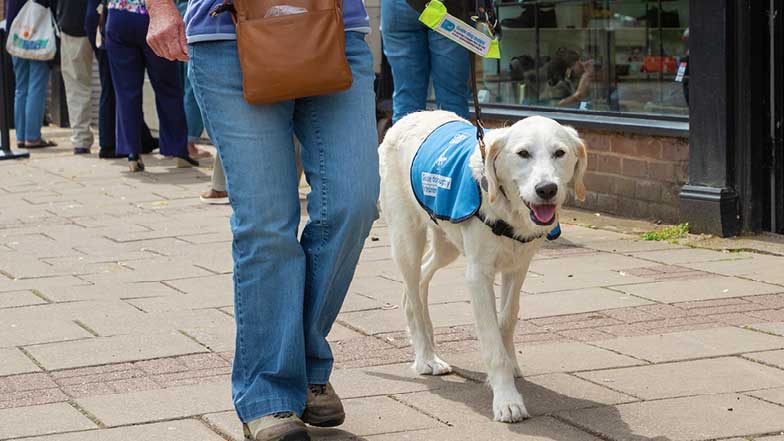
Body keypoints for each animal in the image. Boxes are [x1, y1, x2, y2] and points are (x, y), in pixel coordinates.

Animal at [376, 111, 584, 422]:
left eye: (560, 153)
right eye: (523, 154)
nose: (547, 189)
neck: (508, 211)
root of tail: (410, 116)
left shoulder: (518, 267)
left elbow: (507, 319)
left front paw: (511, 364)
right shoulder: (478, 275)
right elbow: (491, 342)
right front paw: (507, 400)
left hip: (446, 245)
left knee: (418, 282)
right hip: (406, 237)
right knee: (412, 290)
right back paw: (426, 357)